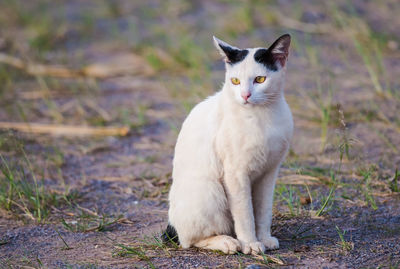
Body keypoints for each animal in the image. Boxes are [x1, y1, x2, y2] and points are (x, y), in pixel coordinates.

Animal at [163, 33, 294, 253]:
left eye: (260, 79)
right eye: (235, 81)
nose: (245, 95)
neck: (261, 117)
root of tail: (172, 223)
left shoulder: (269, 173)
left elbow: (263, 211)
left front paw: (264, 238)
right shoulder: (236, 173)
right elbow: (245, 213)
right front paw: (250, 243)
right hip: (211, 190)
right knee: (189, 240)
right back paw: (227, 242)